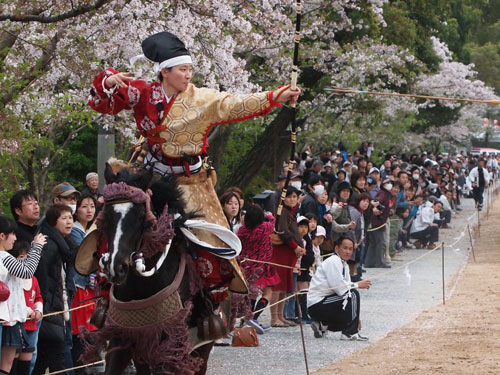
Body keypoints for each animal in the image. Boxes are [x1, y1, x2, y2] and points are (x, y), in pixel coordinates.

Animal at [84, 164, 217, 375]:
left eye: (140, 215)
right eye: (106, 214)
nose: (116, 267)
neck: (143, 285)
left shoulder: (170, 341)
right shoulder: (124, 336)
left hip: (201, 343)